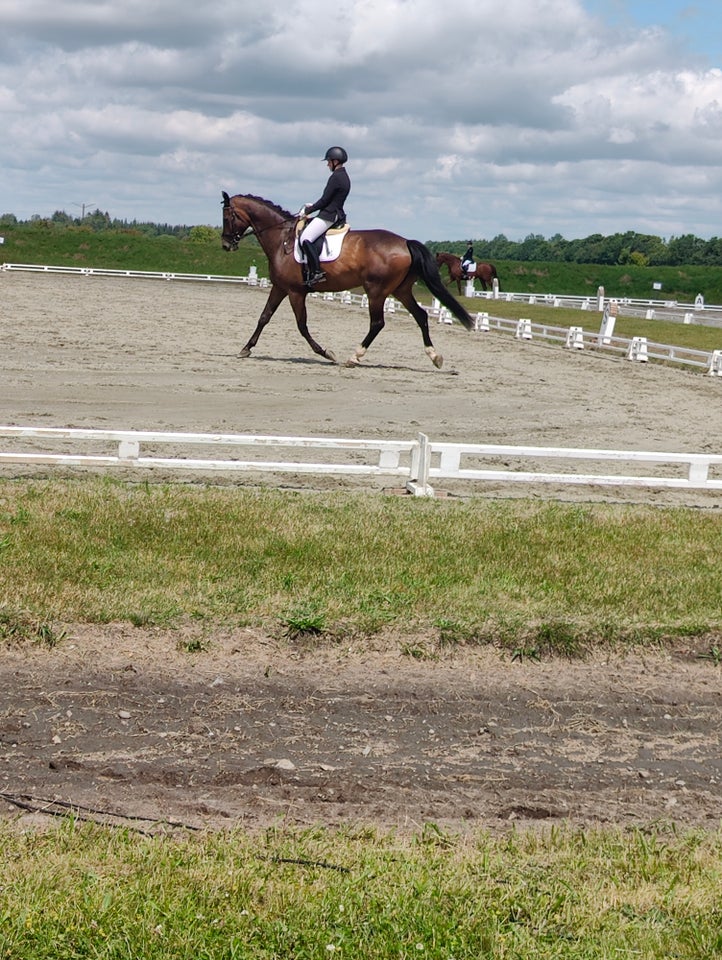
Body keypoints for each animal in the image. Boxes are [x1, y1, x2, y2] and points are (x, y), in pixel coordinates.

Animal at [222, 192, 476, 368]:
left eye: (227, 216)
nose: (225, 244)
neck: (282, 239)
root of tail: (405, 242)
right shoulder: (280, 287)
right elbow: (264, 317)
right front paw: (246, 349)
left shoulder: (295, 291)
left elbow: (302, 325)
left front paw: (326, 353)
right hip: (400, 290)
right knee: (420, 316)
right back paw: (435, 356)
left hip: (376, 291)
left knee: (377, 323)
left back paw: (354, 357)